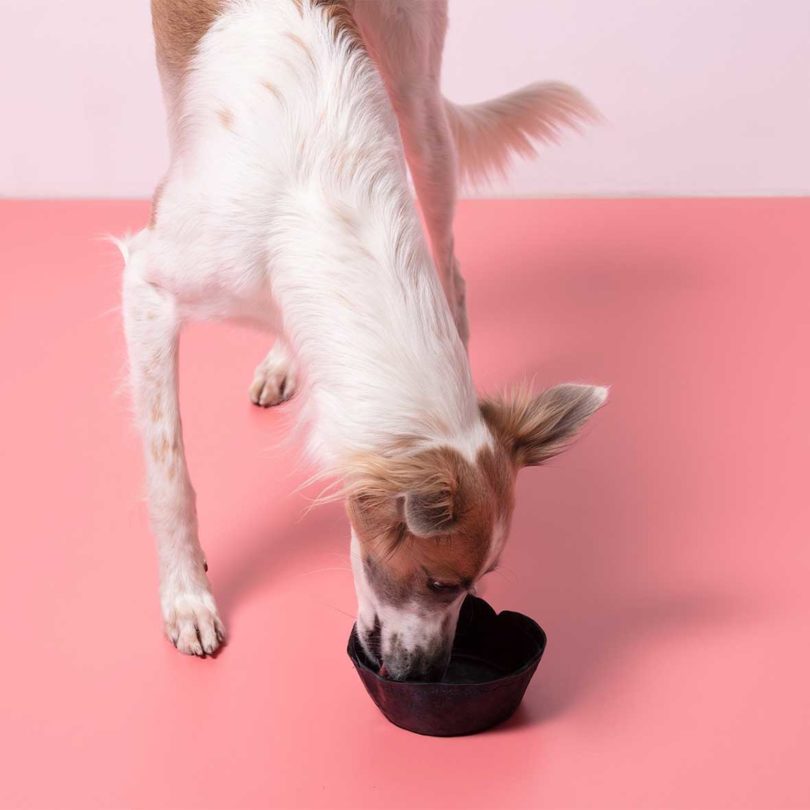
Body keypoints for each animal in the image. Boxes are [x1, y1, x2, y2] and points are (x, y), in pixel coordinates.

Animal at [123, 0, 604, 680]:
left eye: (478, 587)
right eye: (439, 583)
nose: (430, 674)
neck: (319, 194)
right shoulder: (148, 288)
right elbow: (170, 473)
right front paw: (187, 595)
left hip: (420, 109)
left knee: (452, 269)